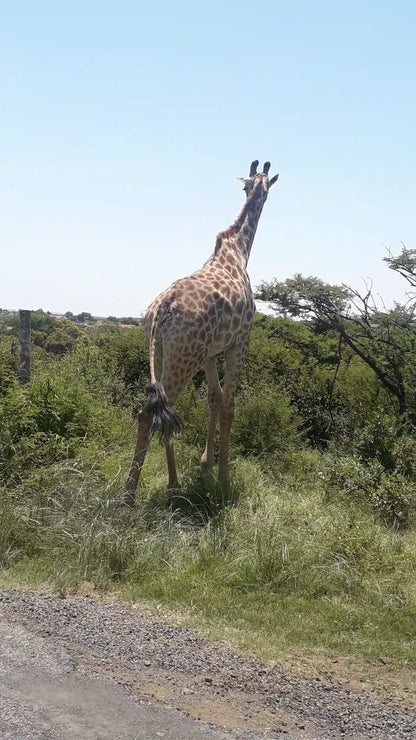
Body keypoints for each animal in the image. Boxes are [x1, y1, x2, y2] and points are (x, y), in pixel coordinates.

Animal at [124, 159, 280, 506]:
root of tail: (162, 309)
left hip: (163, 351)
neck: (239, 252)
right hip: (185, 357)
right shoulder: (240, 342)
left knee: (159, 412)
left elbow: (213, 397)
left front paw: (205, 466)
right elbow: (229, 406)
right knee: (148, 414)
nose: (259, 194)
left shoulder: (210, 353)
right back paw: (129, 494)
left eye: (249, 185)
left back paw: (172, 482)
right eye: (261, 188)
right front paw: (222, 479)